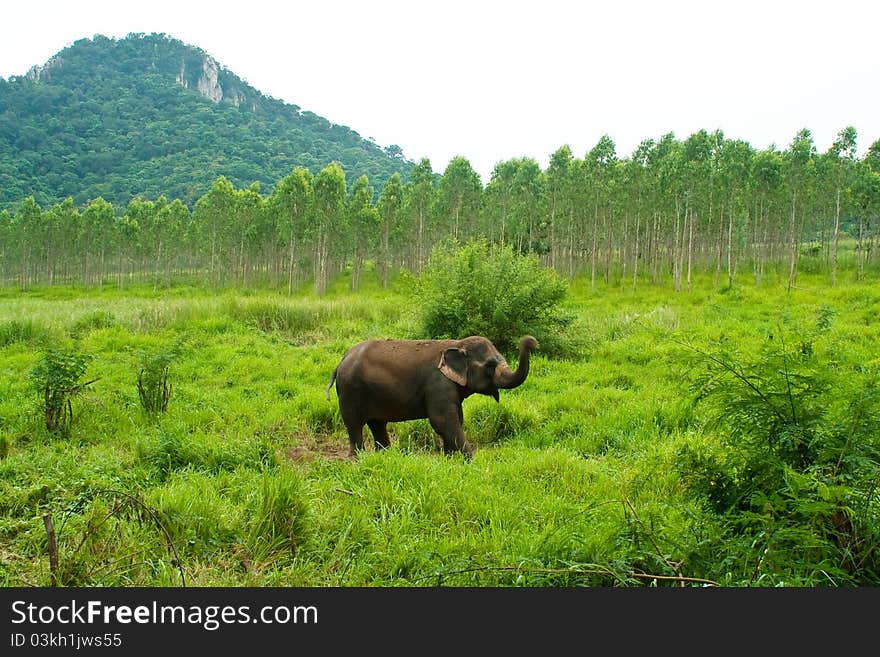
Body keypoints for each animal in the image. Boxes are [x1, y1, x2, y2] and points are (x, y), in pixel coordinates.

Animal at [326, 334, 540, 456]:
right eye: (489, 366)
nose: (532, 342)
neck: (457, 344)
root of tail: (341, 360)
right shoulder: (438, 383)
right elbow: (442, 420)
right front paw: (470, 460)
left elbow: (456, 419)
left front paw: (450, 458)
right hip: (349, 391)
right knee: (354, 424)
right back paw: (358, 459)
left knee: (377, 423)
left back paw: (385, 456)